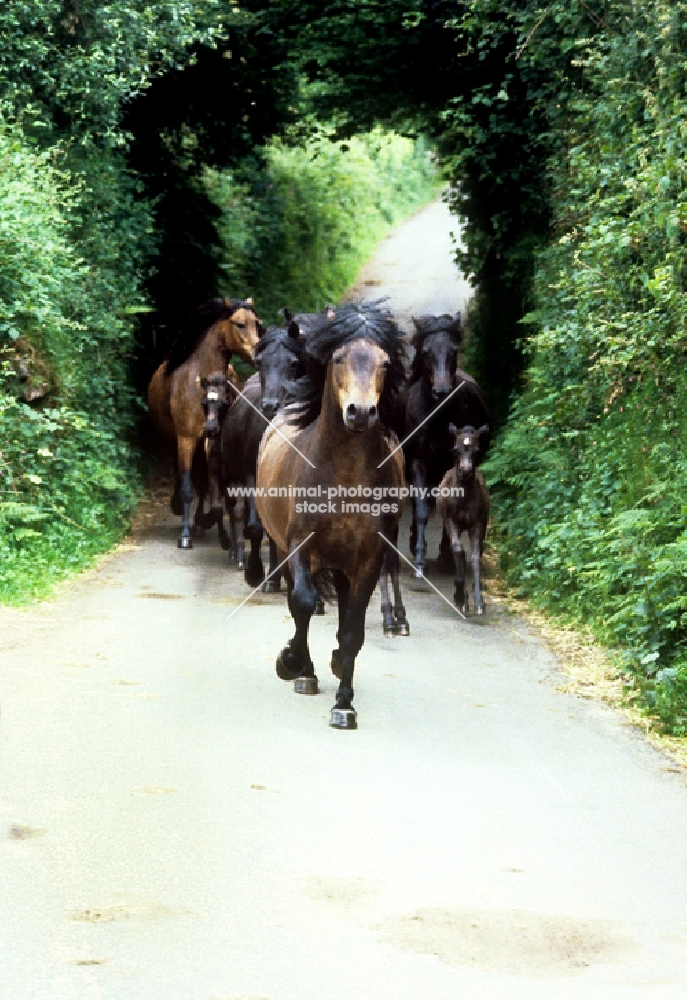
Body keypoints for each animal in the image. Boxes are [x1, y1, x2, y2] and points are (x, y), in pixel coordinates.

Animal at [146, 292, 262, 552]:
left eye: (257, 323)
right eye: (239, 324)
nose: (258, 356)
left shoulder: (210, 441)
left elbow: (207, 485)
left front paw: (205, 524)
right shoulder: (186, 439)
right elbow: (188, 487)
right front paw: (185, 536)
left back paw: (200, 522)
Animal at [258, 300, 408, 732]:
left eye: (385, 363)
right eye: (339, 358)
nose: (361, 413)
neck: (344, 476)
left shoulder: (369, 559)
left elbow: (353, 630)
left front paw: (344, 704)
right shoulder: (299, 547)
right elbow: (303, 602)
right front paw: (291, 662)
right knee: (299, 602)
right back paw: (305, 672)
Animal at [406, 312, 492, 580]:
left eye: (454, 351)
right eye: (426, 351)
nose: (442, 391)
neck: (437, 416)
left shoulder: (450, 465)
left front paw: (445, 557)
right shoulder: (418, 461)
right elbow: (421, 508)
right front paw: (420, 561)